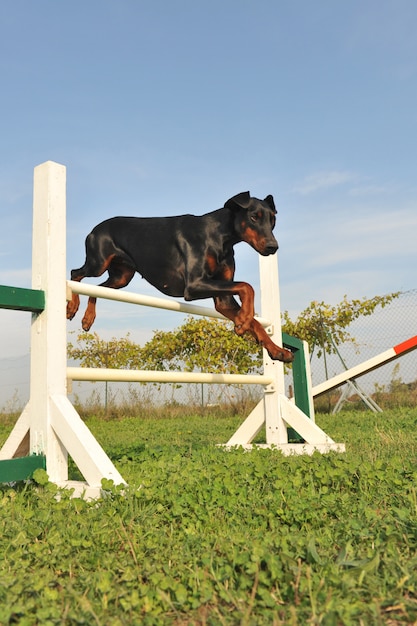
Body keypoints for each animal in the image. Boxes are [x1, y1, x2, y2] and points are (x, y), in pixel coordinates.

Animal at [66, 190, 292, 360]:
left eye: (273, 220)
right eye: (254, 217)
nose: (273, 247)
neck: (220, 236)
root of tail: (94, 229)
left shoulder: (223, 298)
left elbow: (255, 318)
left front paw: (276, 350)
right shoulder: (194, 285)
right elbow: (247, 287)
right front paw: (243, 321)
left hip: (121, 277)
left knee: (96, 289)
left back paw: (87, 318)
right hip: (98, 263)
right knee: (75, 274)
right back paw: (72, 307)